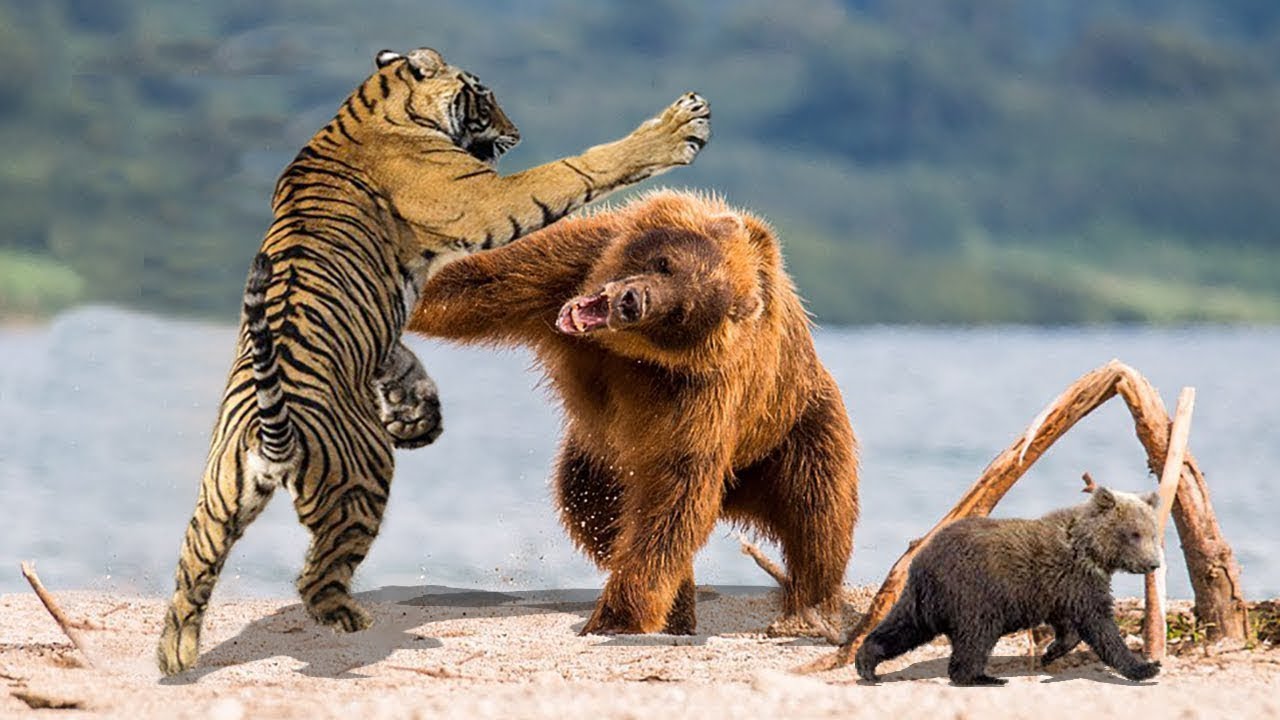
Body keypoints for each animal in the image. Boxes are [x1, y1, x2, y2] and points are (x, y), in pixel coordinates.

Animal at [407, 190, 860, 635]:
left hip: (795, 431)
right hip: (601, 461)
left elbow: (675, 494)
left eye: (681, 312)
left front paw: (617, 616)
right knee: (587, 506)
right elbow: (468, 283)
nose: (632, 301)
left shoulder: (701, 393)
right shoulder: (568, 265)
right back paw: (682, 605)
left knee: (818, 519)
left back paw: (808, 611)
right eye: (664, 263)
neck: (623, 352)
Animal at [855, 486, 1164, 685]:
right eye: (1134, 533)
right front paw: (1146, 667)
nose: (1153, 563)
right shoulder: (1076, 580)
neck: (1090, 551)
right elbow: (1101, 627)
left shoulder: (1059, 589)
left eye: (1153, 533)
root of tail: (922, 559)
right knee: (976, 637)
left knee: (903, 627)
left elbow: (1069, 626)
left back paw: (867, 664)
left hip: (923, 600)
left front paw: (1051, 652)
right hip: (974, 593)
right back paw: (982, 677)